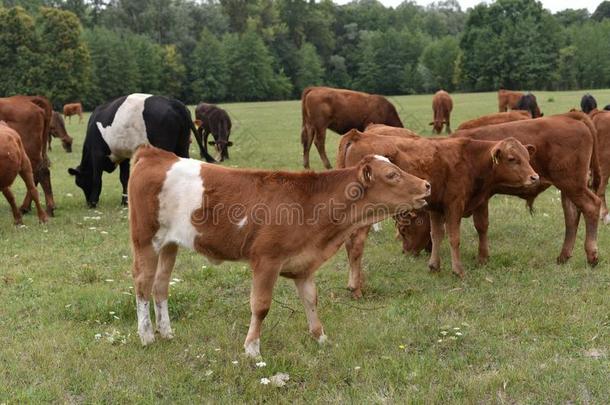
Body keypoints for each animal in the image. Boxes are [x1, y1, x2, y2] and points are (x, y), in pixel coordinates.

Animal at [68, 94, 215, 208]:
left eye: (79, 182)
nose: (88, 203)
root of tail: (173, 102)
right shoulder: (124, 155)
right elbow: (124, 178)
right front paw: (125, 201)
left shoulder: (97, 153)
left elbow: (97, 178)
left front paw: (94, 202)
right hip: (182, 145)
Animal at [128, 144, 428, 354]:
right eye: (391, 174)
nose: (427, 184)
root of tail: (154, 153)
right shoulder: (266, 260)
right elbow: (260, 306)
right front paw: (252, 349)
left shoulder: (304, 265)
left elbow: (311, 300)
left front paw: (321, 338)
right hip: (145, 240)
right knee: (143, 285)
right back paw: (146, 336)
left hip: (169, 245)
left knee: (160, 287)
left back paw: (166, 332)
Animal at [338, 124, 536, 296]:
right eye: (512, 159)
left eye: (527, 157)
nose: (534, 177)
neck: (471, 159)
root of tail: (358, 135)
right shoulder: (454, 205)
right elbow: (454, 238)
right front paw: (458, 270)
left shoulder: (449, 206)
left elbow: (450, 232)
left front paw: (477, 259)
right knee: (356, 246)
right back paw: (356, 288)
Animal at [394, 112, 600, 266]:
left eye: (404, 229)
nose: (405, 252)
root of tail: (569, 117)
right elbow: (482, 226)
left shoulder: (479, 198)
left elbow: (480, 225)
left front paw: (481, 258)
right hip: (568, 187)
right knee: (571, 217)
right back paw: (563, 256)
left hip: (573, 184)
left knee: (591, 207)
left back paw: (592, 256)